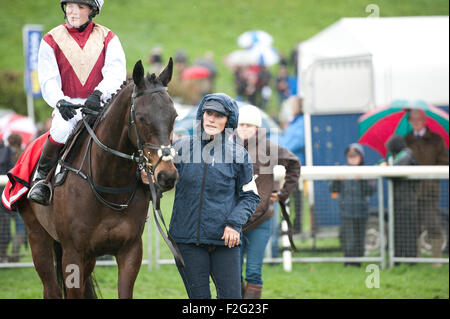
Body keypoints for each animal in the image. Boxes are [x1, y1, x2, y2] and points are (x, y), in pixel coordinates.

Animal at [16, 58, 178, 300]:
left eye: (174, 116)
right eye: (141, 118)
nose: (167, 175)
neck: (108, 184)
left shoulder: (130, 250)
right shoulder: (73, 253)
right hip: (37, 236)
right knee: (51, 288)